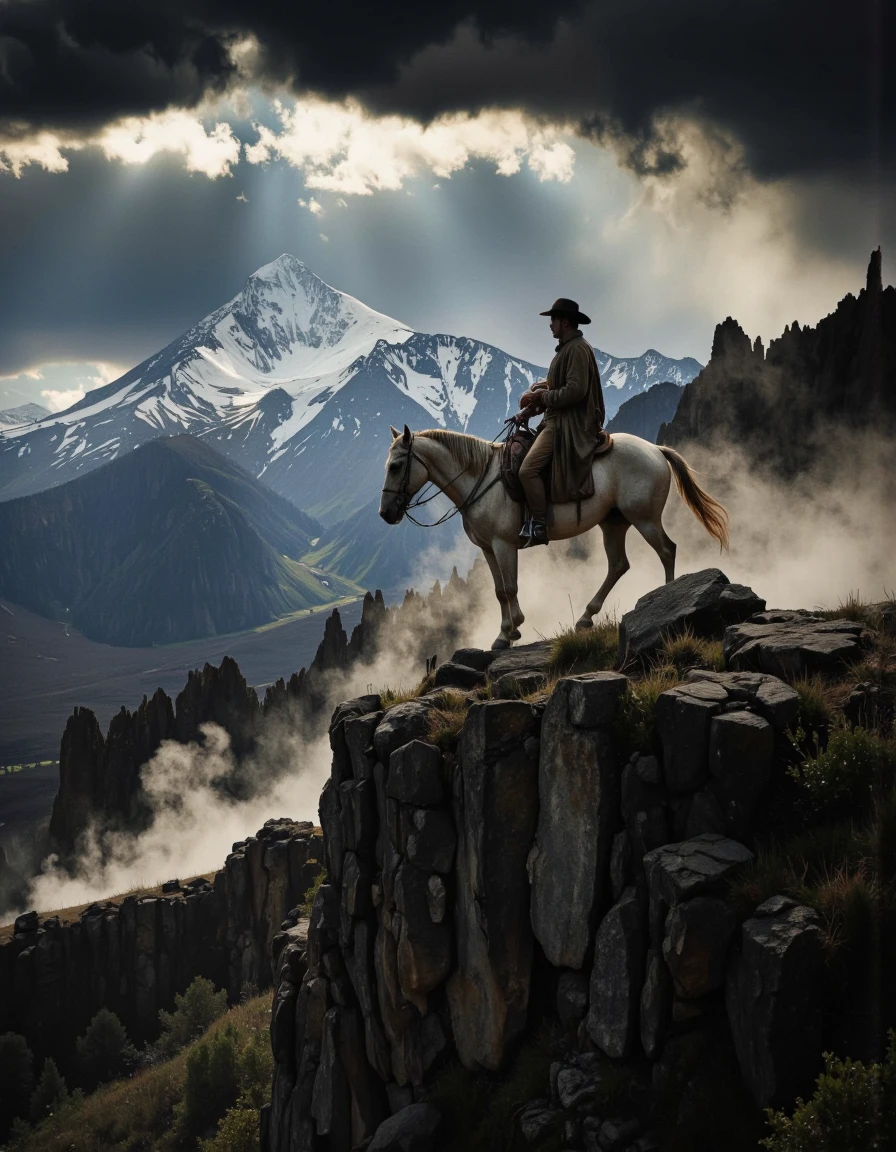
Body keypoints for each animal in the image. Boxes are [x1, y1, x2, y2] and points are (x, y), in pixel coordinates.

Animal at [377, 428, 727, 654]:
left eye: (396, 466)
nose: (386, 513)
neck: (480, 477)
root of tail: (656, 450)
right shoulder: (488, 548)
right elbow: (498, 591)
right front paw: (505, 632)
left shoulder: (504, 544)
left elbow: (510, 587)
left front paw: (511, 631)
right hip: (613, 523)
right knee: (618, 565)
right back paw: (586, 617)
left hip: (645, 519)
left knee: (667, 550)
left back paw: (667, 600)